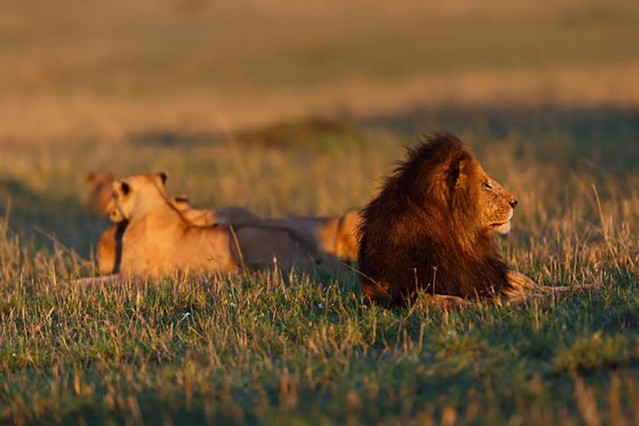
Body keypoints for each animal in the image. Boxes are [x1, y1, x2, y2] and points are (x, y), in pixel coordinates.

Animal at [105, 171, 320, 278]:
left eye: (114, 194)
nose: (108, 209)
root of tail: (313, 252)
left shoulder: (132, 276)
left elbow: (98, 282)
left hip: (240, 235)